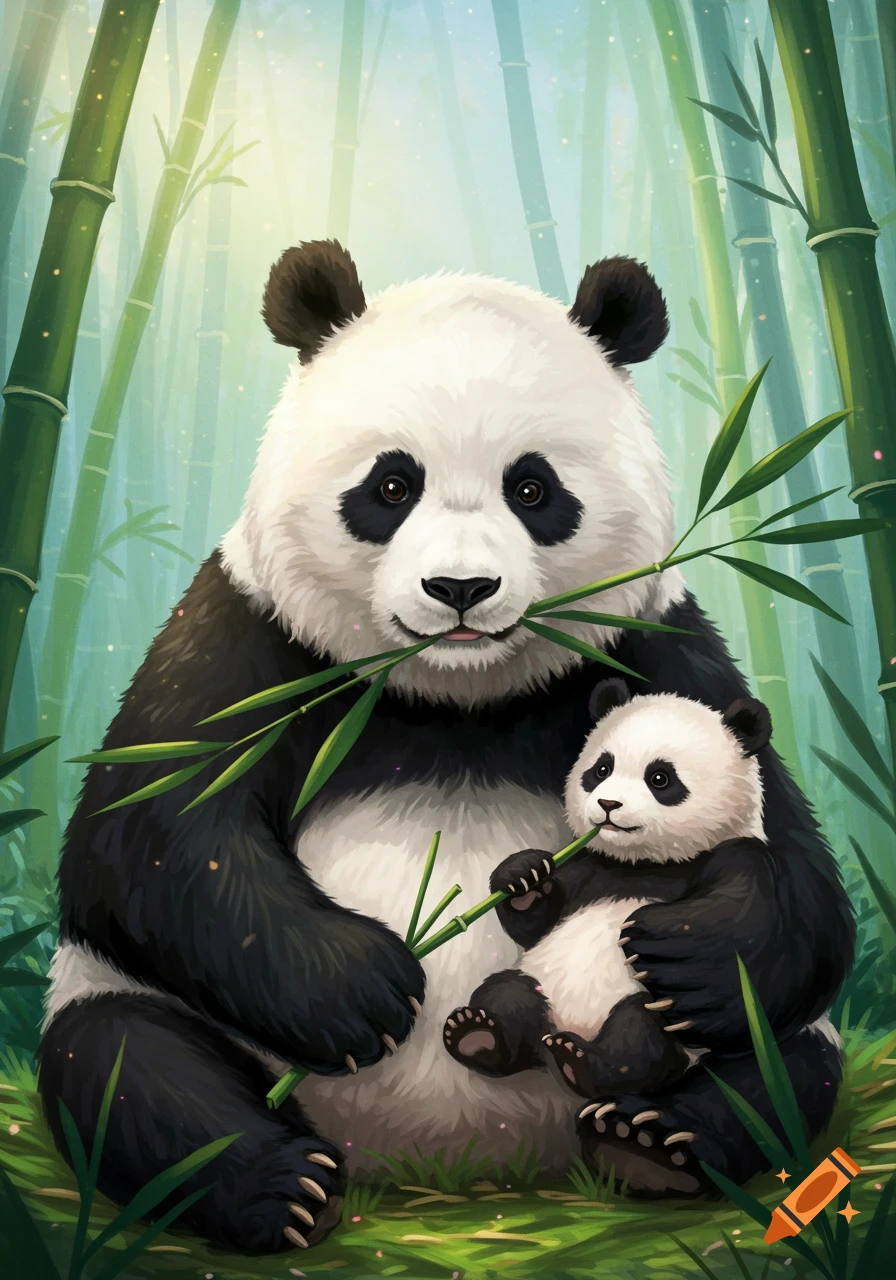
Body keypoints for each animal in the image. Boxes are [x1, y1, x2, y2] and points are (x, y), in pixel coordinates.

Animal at [443, 680, 844, 1196]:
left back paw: (625, 1124)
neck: (646, 865)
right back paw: (479, 1033)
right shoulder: (590, 866)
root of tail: (569, 1027)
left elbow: (744, 918)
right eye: (601, 768)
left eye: (660, 778)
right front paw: (523, 874)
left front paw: (661, 936)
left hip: (695, 1031)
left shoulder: (734, 856)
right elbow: (538, 917)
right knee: (509, 994)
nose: (608, 806)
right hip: (538, 984)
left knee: (676, 1054)